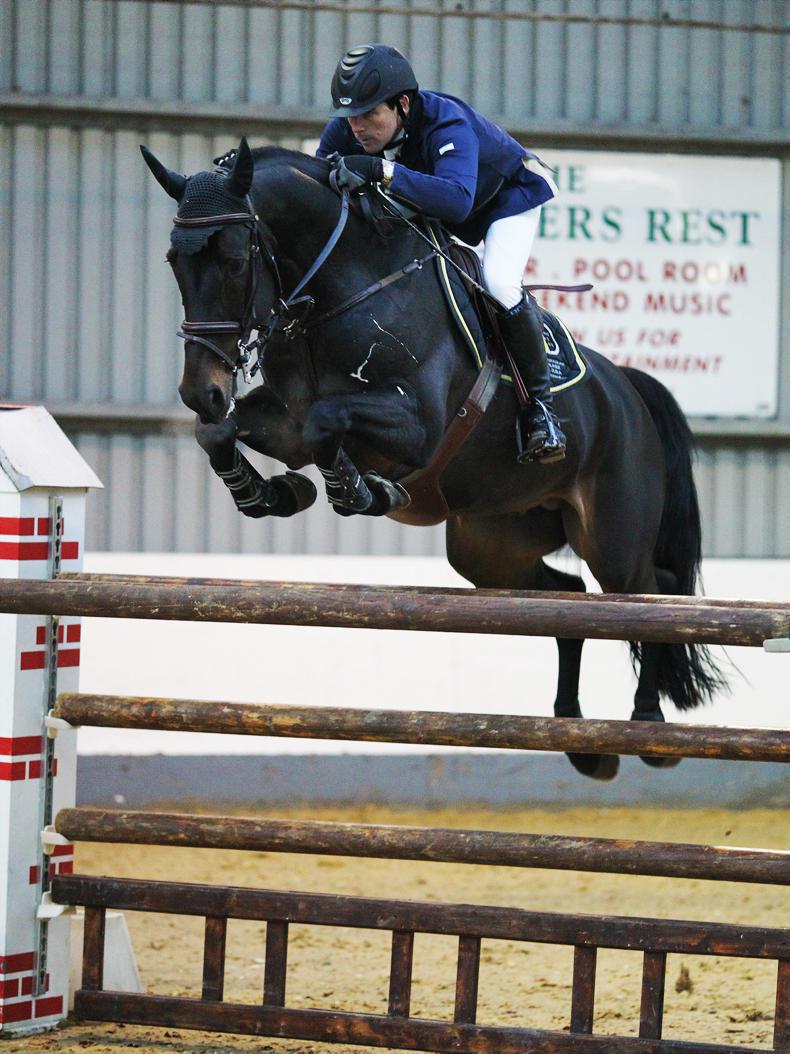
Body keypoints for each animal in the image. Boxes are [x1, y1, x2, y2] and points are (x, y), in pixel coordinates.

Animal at [142, 138, 725, 781]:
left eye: (235, 261)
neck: (340, 291)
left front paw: (359, 490)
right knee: (566, 603)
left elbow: (327, 424)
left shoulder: (414, 426)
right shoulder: (283, 422)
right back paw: (578, 738)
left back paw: (649, 726)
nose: (200, 389)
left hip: (612, 538)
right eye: (173, 262)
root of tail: (627, 388)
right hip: (491, 546)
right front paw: (272, 493)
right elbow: (221, 432)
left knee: (652, 596)